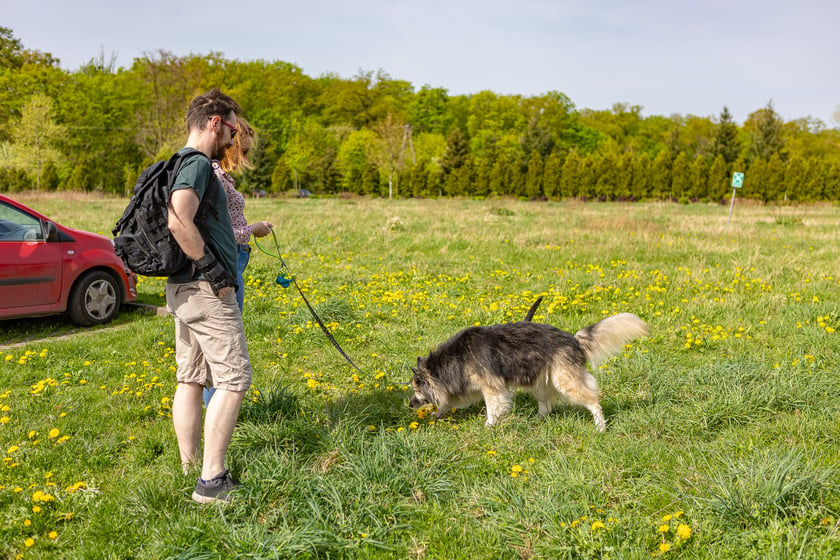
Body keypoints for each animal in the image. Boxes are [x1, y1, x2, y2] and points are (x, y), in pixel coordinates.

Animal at [408, 312, 648, 430]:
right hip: (541, 380)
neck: (455, 358)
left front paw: (488, 426)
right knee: (546, 404)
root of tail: (574, 340)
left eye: (416, 390)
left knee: (593, 401)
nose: (409, 404)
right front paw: (440, 412)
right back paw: (539, 419)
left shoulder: (492, 388)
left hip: (565, 380)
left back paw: (600, 427)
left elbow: (493, 408)